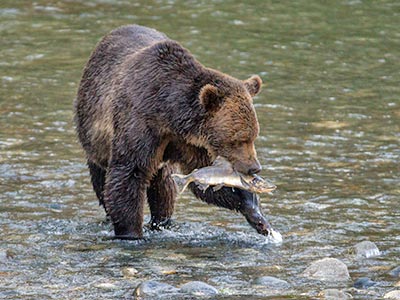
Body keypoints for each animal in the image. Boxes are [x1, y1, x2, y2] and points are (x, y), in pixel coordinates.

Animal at [74, 24, 274, 239]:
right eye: (238, 139)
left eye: (254, 136)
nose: (254, 167)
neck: (169, 114)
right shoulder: (140, 123)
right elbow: (128, 173)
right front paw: (131, 232)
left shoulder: (190, 143)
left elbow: (201, 177)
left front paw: (256, 212)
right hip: (94, 137)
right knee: (102, 180)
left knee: (164, 189)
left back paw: (162, 221)